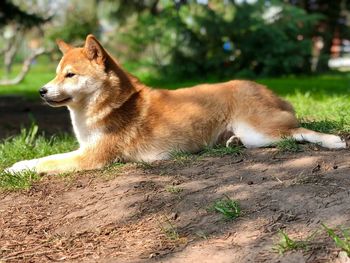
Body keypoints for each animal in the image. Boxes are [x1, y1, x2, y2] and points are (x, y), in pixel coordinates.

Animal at [6, 35, 348, 175]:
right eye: (56, 73)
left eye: (70, 74)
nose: (41, 90)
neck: (108, 105)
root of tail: (265, 88)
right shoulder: (84, 148)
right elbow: (48, 156)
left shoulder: (92, 156)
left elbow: (46, 161)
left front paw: (15, 168)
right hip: (255, 137)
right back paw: (231, 142)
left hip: (261, 130)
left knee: (301, 131)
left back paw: (333, 141)